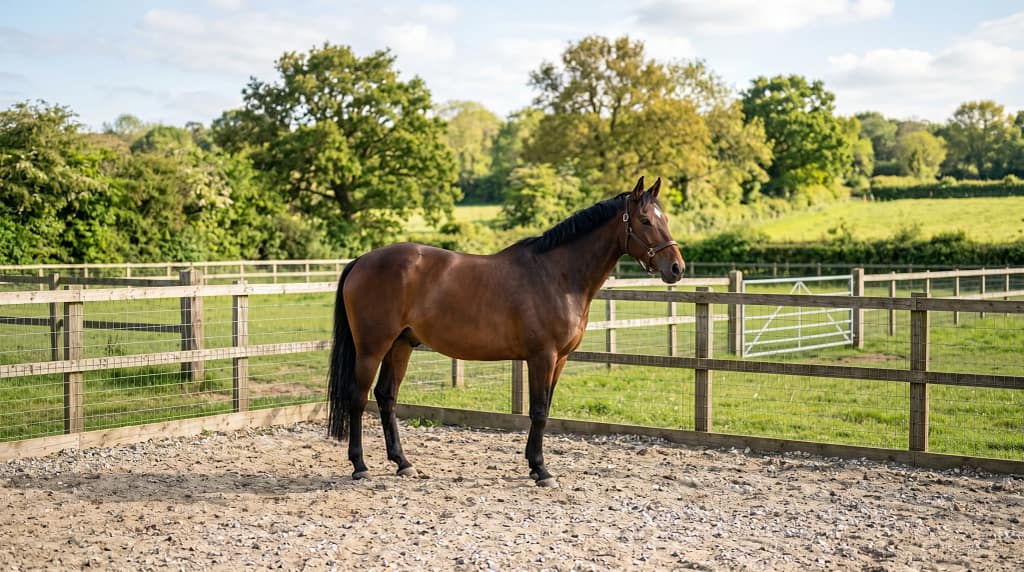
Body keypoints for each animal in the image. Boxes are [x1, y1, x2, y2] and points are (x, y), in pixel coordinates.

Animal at [327, 176, 685, 487]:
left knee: (386, 396)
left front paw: (533, 464)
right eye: (645, 221)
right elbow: (538, 412)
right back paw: (360, 466)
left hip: (401, 345)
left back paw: (403, 462)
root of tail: (361, 261)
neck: (557, 275)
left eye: (665, 218)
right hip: (372, 348)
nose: (677, 268)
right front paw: (542, 470)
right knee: (358, 398)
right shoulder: (542, 357)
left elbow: (545, 409)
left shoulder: (560, 360)